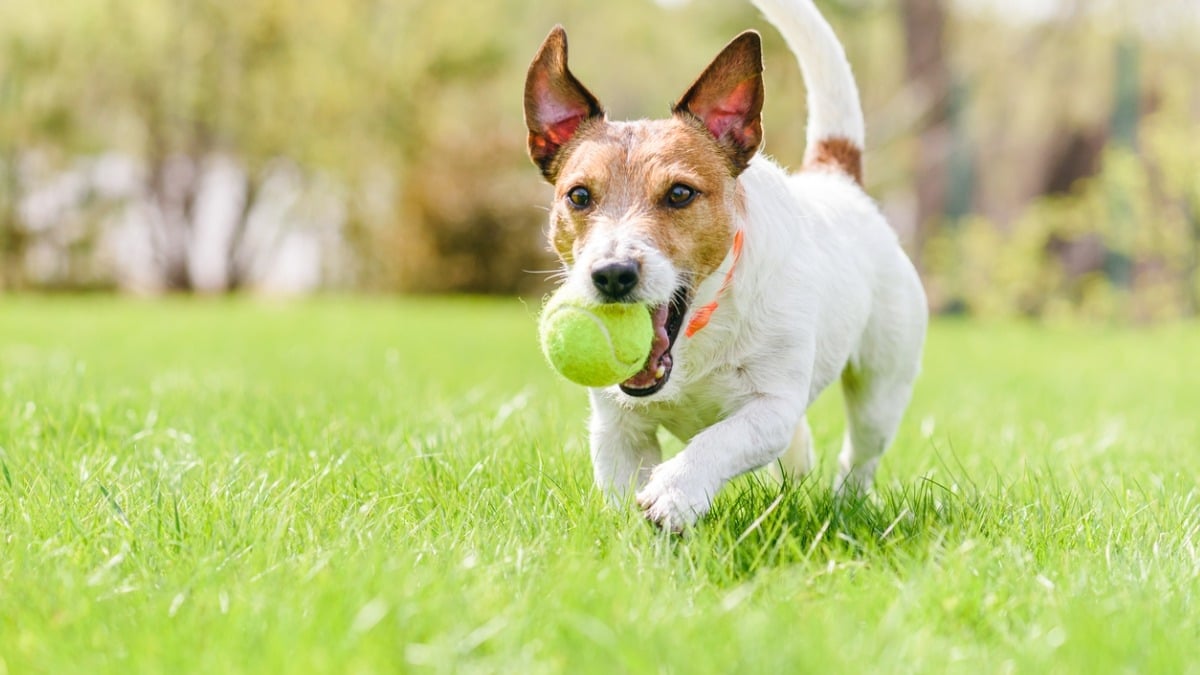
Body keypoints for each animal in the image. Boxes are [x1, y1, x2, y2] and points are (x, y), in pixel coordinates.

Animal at [523, 0, 926, 530]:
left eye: (679, 193)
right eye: (579, 196)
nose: (612, 274)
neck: (699, 332)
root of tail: (837, 180)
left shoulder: (771, 408)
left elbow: (720, 440)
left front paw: (675, 491)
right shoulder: (618, 429)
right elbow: (624, 485)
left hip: (881, 388)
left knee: (858, 457)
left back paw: (845, 506)